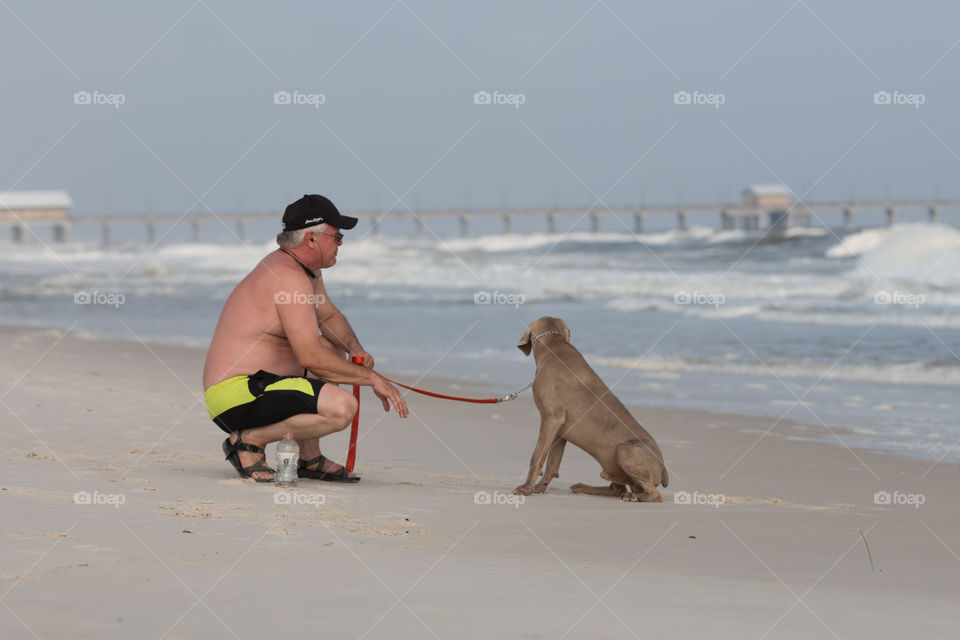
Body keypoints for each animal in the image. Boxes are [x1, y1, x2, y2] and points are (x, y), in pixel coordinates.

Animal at [510, 318, 668, 502]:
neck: (553, 344)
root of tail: (664, 469)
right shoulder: (560, 430)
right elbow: (552, 464)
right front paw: (539, 487)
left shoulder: (552, 418)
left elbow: (536, 457)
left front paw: (525, 488)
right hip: (613, 467)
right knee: (616, 488)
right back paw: (583, 487)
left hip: (625, 450)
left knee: (654, 494)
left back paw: (632, 496)